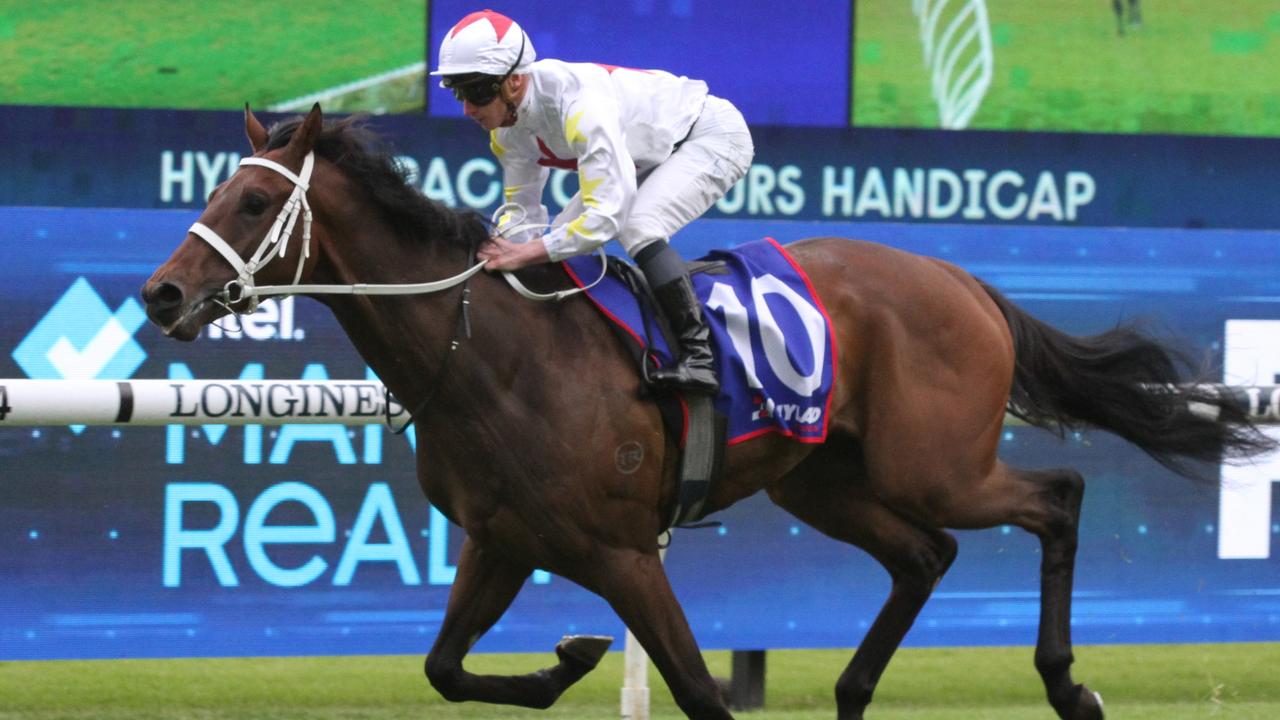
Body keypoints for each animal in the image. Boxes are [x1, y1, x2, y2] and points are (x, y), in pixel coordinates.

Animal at [142, 103, 1269, 712]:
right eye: (211, 193)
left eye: (253, 201)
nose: (161, 293)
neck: (488, 359)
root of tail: (962, 281)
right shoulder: (504, 542)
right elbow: (444, 667)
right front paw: (567, 660)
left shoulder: (621, 552)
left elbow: (693, 689)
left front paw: (586, 657)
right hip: (825, 482)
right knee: (925, 555)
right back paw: (853, 694)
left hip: (935, 464)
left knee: (1058, 494)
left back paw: (1066, 683)